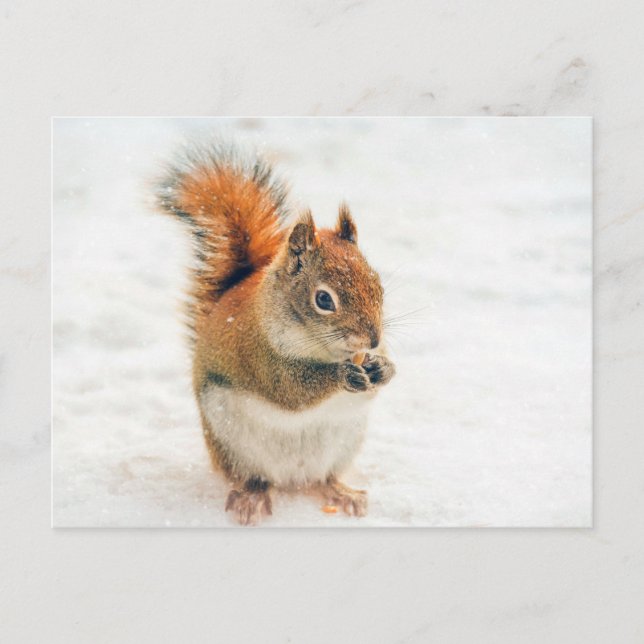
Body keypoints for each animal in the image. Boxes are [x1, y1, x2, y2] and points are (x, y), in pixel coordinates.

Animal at [156, 143, 395, 525]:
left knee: (324, 478)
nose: (371, 340)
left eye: (378, 285)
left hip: (344, 443)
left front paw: (383, 368)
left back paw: (341, 492)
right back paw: (252, 497)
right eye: (323, 299)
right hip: (235, 445)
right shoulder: (259, 354)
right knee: (255, 477)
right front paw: (343, 375)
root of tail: (293, 478)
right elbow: (291, 388)